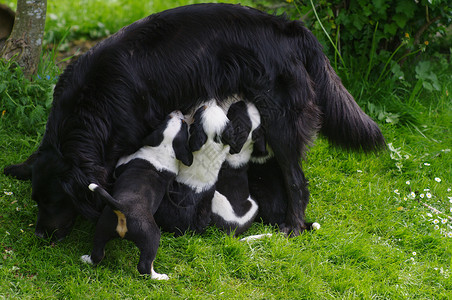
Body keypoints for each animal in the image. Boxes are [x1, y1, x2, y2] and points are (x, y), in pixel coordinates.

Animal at [82, 110, 192, 278]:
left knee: (136, 265)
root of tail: (122, 209)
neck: (165, 146)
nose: (177, 111)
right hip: (120, 230)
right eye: (169, 118)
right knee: (110, 258)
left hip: (128, 231)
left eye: (184, 124)